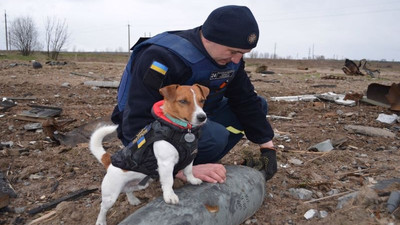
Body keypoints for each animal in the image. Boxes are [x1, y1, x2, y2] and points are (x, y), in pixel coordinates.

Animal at [90, 84, 209, 225]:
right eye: (183, 101)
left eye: (202, 100)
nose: (202, 117)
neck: (183, 131)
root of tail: (109, 161)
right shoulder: (166, 164)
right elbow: (168, 181)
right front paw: (169, 196)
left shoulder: (190, 157)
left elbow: (189, 171)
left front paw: (192, 180)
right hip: (111, 195)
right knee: (103, 207)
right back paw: (101, 221)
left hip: (138, 184)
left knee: (128, 191)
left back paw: (133, 200)